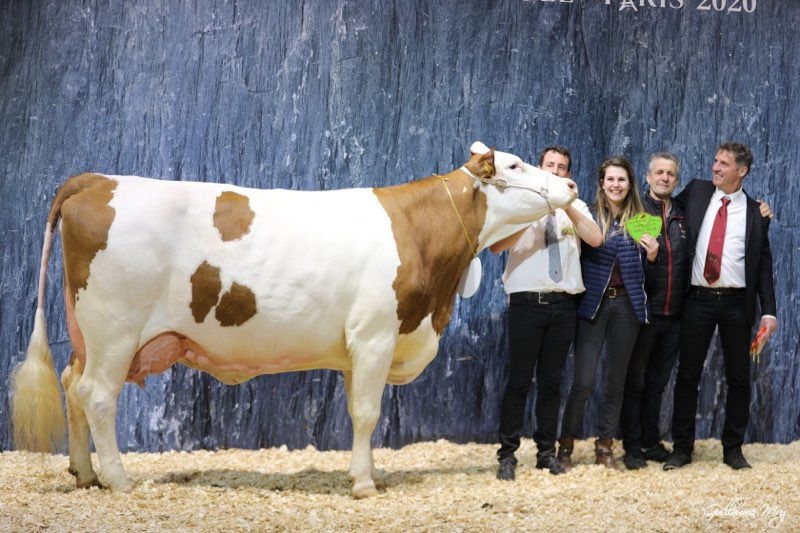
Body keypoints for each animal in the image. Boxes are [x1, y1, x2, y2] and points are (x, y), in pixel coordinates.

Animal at [12, 140, 576, 494]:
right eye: (516, 166)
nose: (570, 187)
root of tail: (97, 180)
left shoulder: (357, 348)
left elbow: (360, 412)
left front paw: (367, 472)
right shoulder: (374, 335)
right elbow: (367, 413)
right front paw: (364, 484)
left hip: (88, 333)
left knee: (71, 383)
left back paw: (85, 473)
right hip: (115, 329)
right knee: (96, 395)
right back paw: (119, 479)